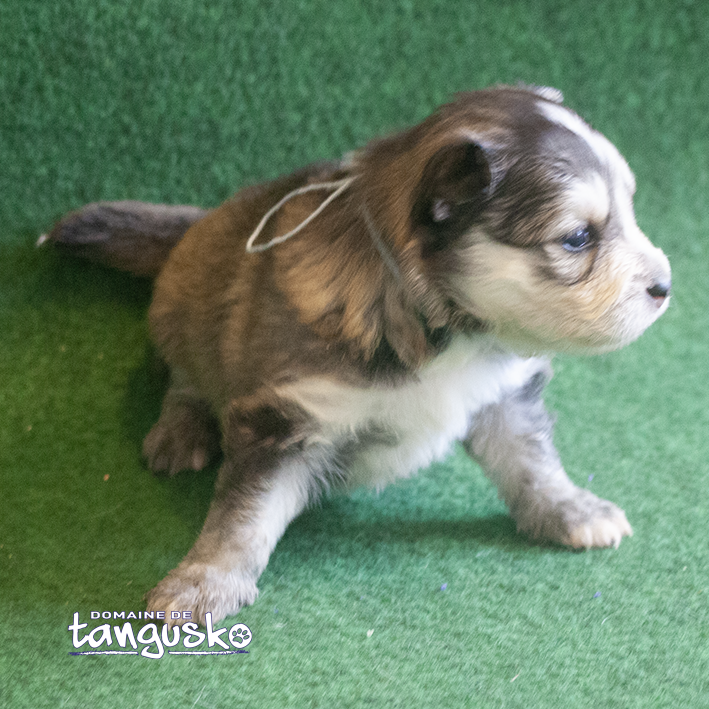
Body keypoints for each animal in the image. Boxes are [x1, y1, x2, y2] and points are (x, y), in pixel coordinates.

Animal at [48, 85, 668, 624]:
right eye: (577, 239)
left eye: (631, 210)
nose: (666, 285)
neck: (454, 337)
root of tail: (196, 222)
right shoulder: (285, 417)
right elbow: (243, 516)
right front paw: (204, 580)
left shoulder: (503, 391)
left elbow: (533, 461)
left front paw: (572, 509)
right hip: (184, 311)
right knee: (184, 375)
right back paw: (180, 430)